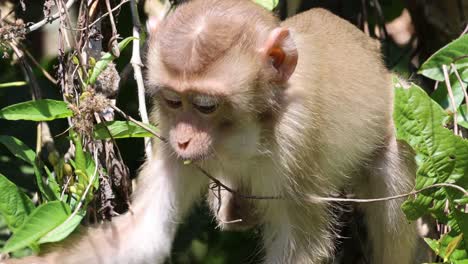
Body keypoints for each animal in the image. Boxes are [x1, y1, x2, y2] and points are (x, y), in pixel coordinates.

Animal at [1, 0, 422, 264]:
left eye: (205, 105)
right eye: (174, 101)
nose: (184, 139)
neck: (254, 125)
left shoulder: (296, 139)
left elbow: (301, 250)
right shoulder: (164, 129)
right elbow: (142, 238)